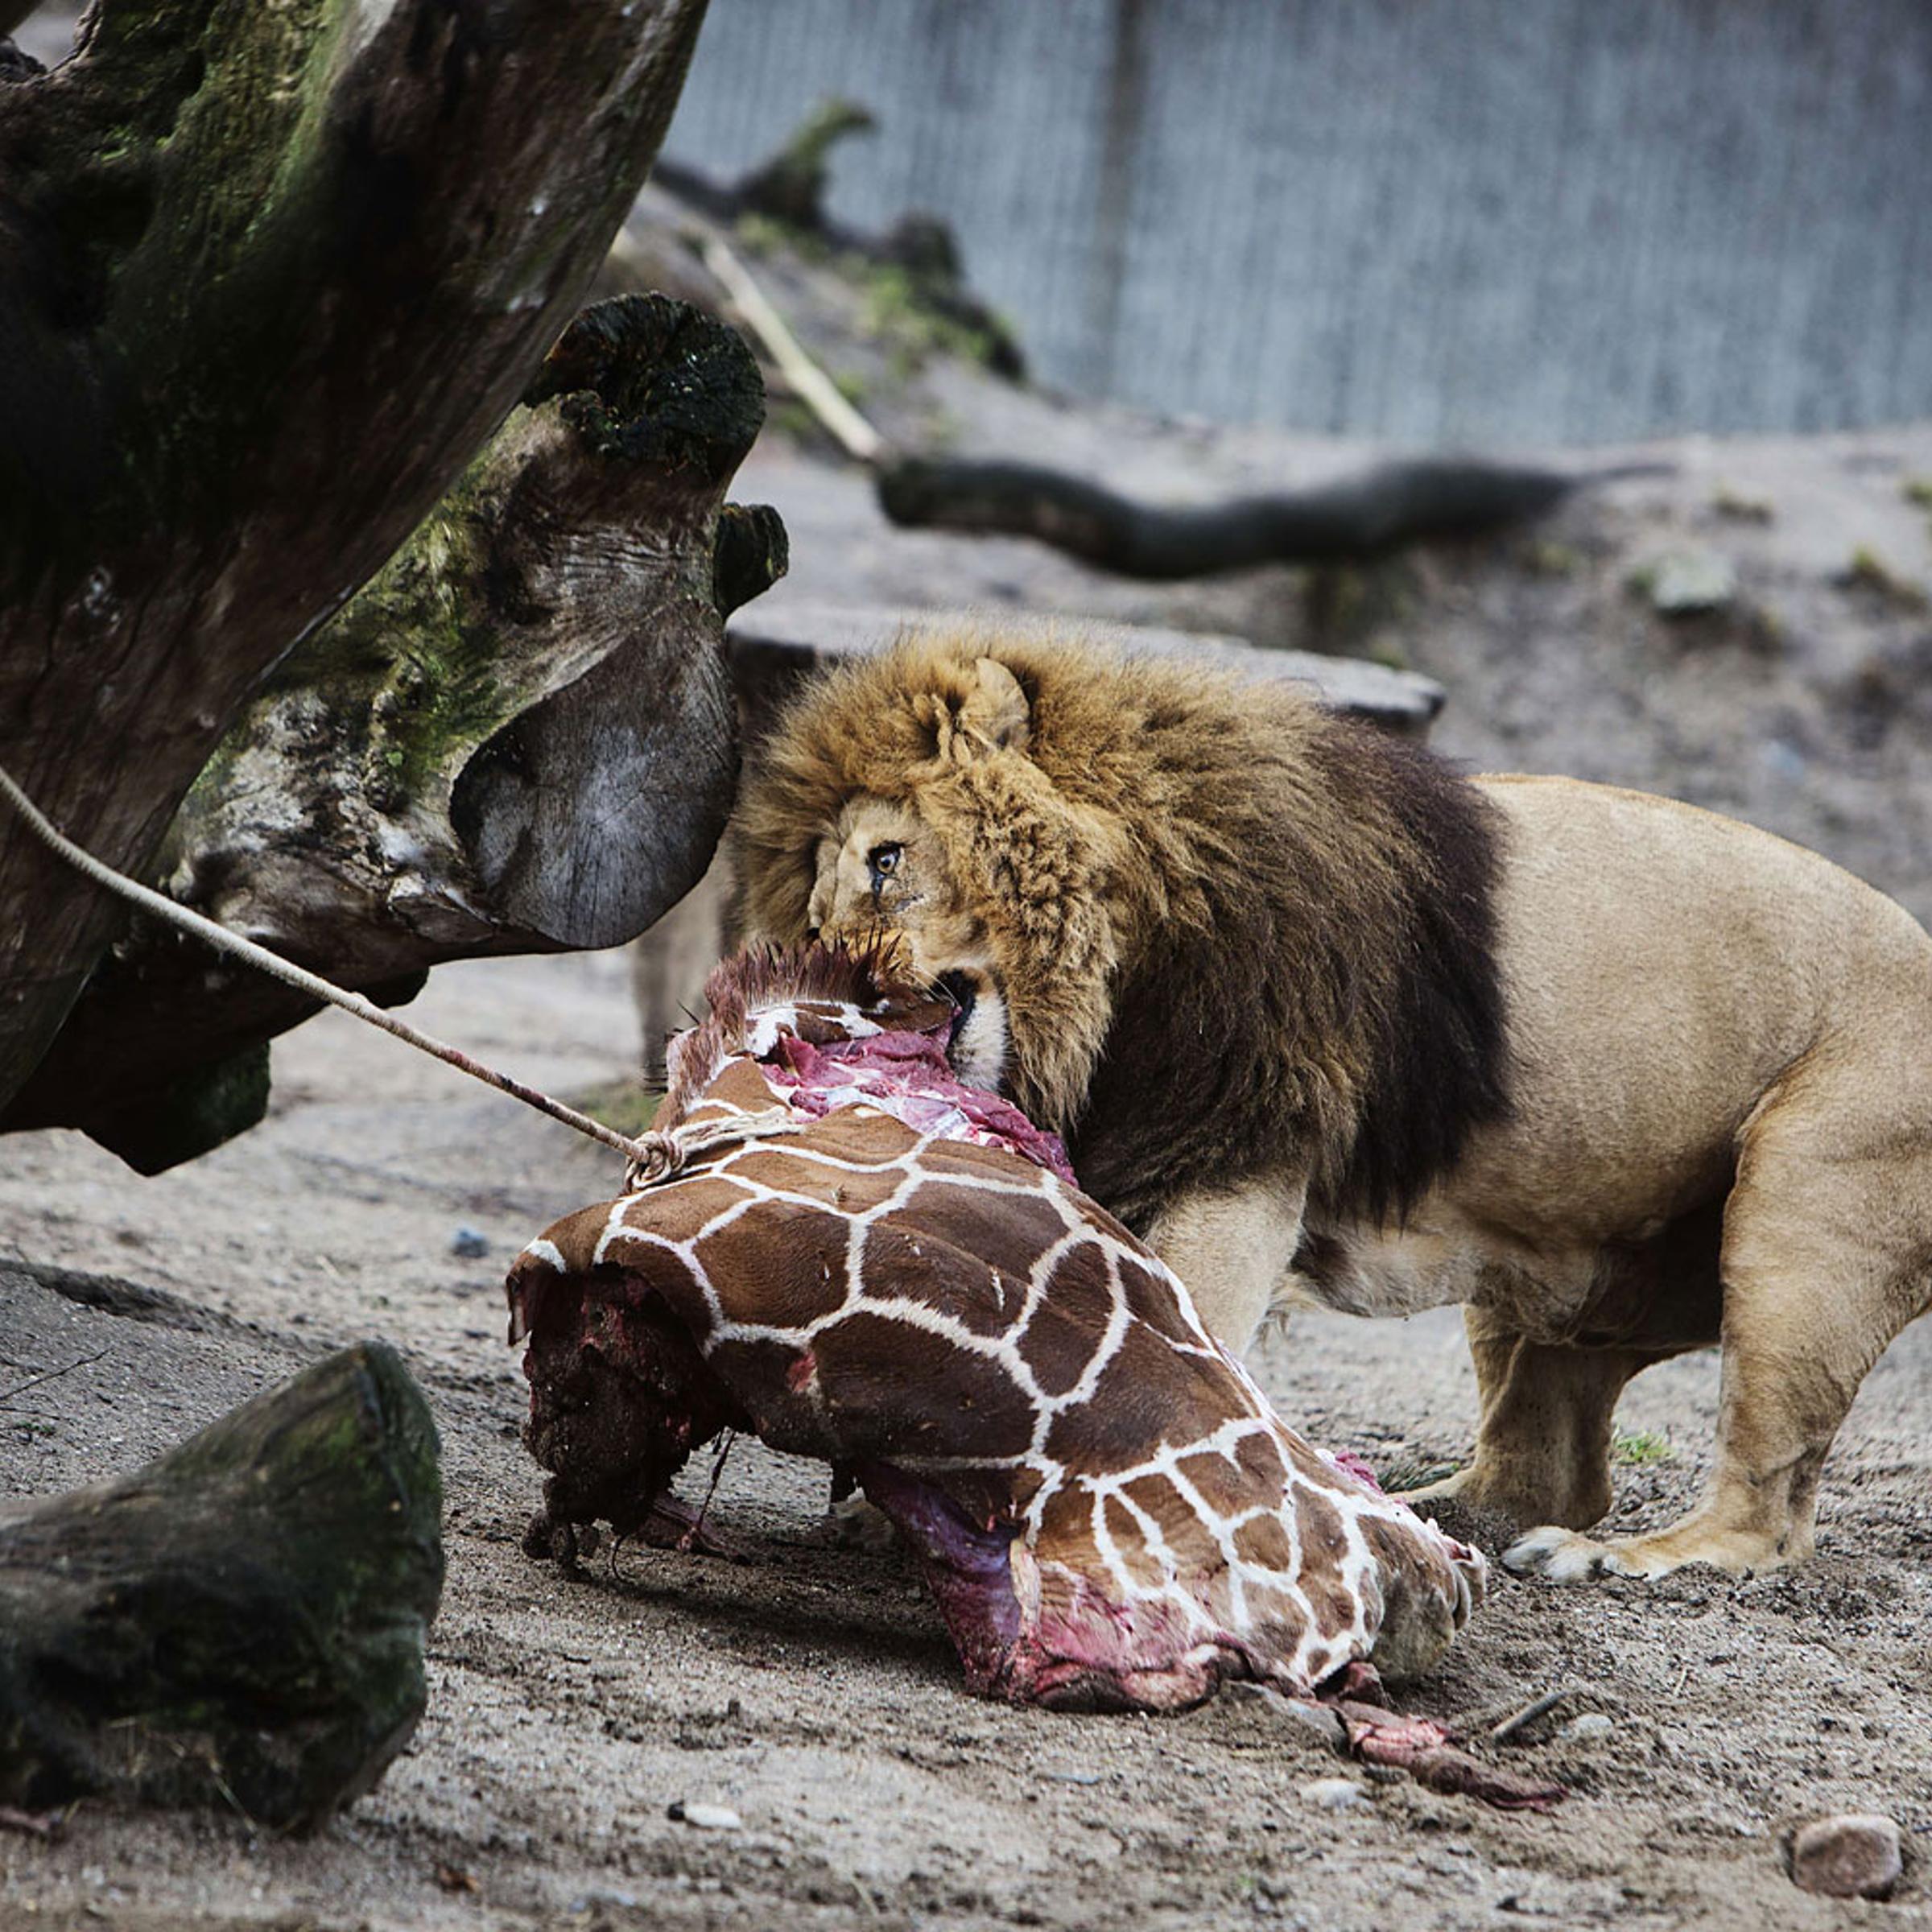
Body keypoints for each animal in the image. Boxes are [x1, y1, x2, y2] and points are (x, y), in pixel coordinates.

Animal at [730, 627, 1932, 1585]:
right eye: (819, 919)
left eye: (888, 862)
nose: (844, 991)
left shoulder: (1240, 1148)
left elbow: (1184, 1331)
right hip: (1562, 1260)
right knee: (1545, 1467)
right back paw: (1425, 1511)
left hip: (1803, 1216)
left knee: (1763, 1513)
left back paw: (1625, 1559)